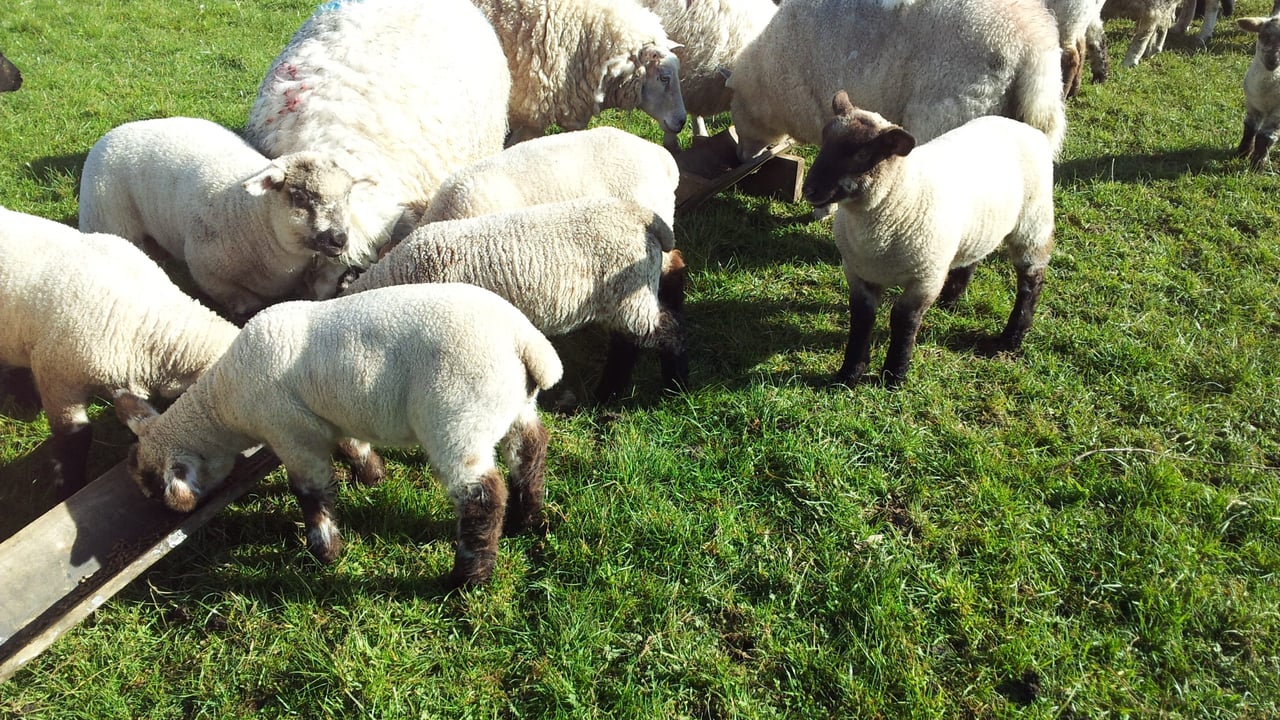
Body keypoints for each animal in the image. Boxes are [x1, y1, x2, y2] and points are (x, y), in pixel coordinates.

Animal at [79, 116, 359, 320]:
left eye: (348, 194)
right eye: (299, 197)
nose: (339, 239)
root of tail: (114, 132)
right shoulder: (205, 268)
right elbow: (237, 298)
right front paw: (245, 306)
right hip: (107, 220)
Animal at [114, 283, 562, 587]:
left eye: (155, 490)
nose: (164, 517)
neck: (224, 403)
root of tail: (525, 343)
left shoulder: (292, 435)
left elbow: (310, 493)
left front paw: (325, 551)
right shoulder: (328, 418)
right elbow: (354, 446)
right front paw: (372, 477)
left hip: (456, 420)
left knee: (482, 497)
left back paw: (469, 577)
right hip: (513, 407)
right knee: (530, 451)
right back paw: (527, 520)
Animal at [348, 197, 687, 403]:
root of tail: (642, 217)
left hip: (630, 292)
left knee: (664, 334)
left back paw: (673, 386)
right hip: (623, 298)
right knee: (627, 344)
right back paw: (608, 394)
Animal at [800, 92, 1055, 388]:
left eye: (862, 154)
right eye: (824, 140)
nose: (809, 189)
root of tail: (1025, 128)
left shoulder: (925, 278)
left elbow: (904, 320)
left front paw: (894, 375)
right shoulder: (857, 272)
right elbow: (862, 318)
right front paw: (849, 373)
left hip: (1033, 223)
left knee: (1031, 281)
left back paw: (1011, 338)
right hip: (975, 227)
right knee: (971, 257)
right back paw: (950, 300)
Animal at [1236, 14, 1280, 169]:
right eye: (1262, 35)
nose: (1272, 60)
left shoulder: (1277, 112)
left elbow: (1266, 136)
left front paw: (1257, 166)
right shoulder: (1252, 103)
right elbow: (1250, 127)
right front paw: (1242, 153)